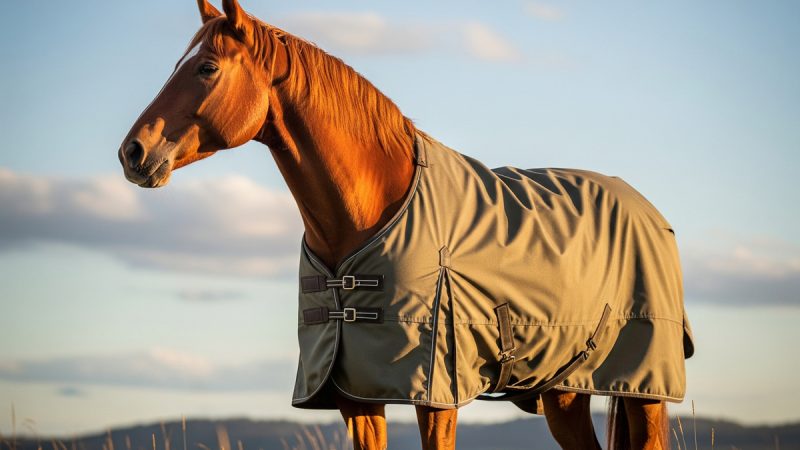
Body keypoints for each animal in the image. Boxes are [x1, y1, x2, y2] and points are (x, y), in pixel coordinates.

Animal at [118, 1, 693, 449]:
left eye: (206, 68)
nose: (133, 153)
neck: (368, 215)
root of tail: (650, 211)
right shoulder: (354, 395)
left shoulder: (436, 393)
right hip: (565, 389)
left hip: (644, 390)